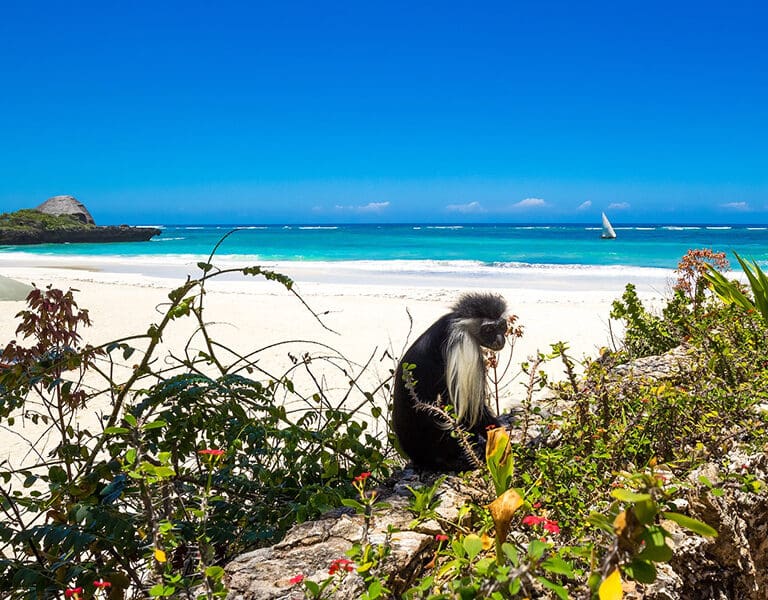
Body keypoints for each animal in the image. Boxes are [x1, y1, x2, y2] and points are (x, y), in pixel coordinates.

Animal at [392, 292, 509, 470]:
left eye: (502, 326)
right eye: (489, 329)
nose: (499, 339)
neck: (458, 323)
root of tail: (420, 458)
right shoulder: (464, 347)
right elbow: (469, 411)